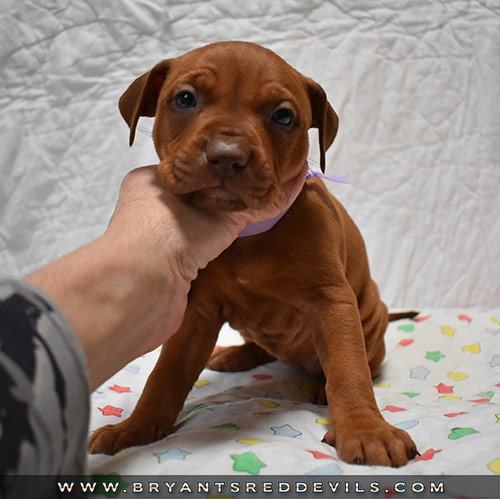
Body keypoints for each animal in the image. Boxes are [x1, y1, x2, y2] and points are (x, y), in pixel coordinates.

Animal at [90, 41, 418, 466]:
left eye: (282, 115)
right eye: (185, 99)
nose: (227, 155)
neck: (244, 235)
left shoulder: (332, 302)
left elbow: (349, 370)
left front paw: (365, 430)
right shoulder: (196, 314)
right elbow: (164, 376)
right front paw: (134, 428)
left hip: (371, 320)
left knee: (366, 363)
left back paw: (319, 385)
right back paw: (237, 355)